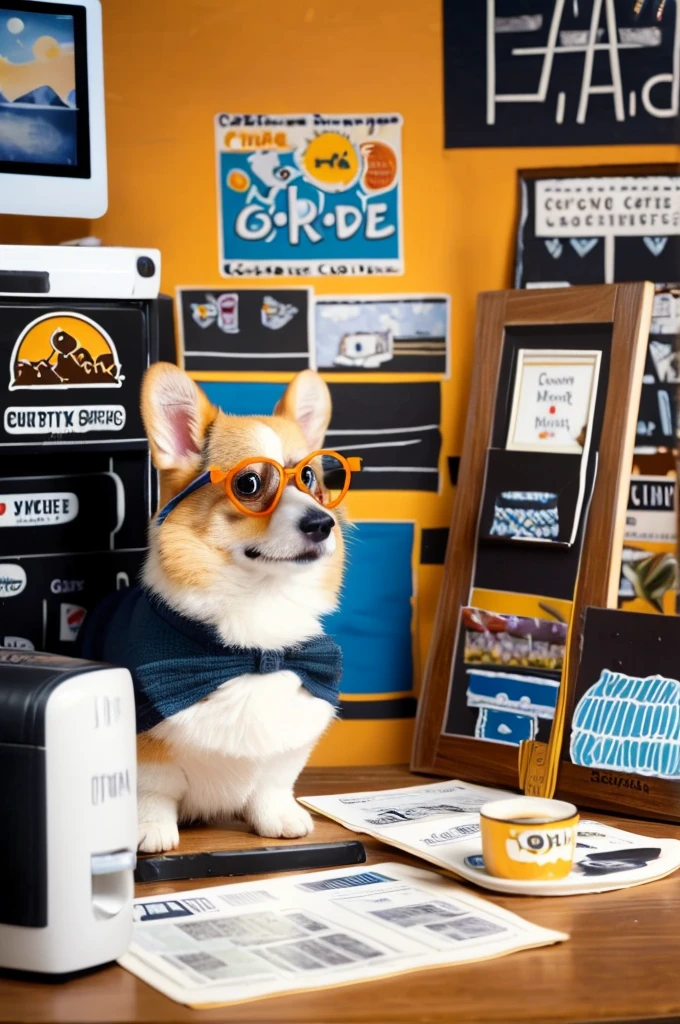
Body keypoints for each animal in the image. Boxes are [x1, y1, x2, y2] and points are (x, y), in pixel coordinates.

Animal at [80, 364, 350, 851]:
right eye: (249, 483)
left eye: (310, 479)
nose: (322, 524)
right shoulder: (148, 742)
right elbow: (151, 790)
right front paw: (149, 829)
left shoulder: (293, 736)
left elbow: (273, 781)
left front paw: (279, 816)